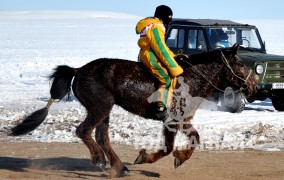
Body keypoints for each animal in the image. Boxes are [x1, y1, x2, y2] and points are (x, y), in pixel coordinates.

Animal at [9, 44, 258, 177]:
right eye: (239, 63)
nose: (254, 85)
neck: (192, 78)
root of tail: (78, 70)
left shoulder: (181, 120)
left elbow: (190, 140)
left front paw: (176, 157)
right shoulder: (173, 120)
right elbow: (172, 146)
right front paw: (151, 157)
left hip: (104, 111)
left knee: (102, 136)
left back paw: (119, 167)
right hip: (99, 107)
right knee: (84, 131)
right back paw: (100, 159)